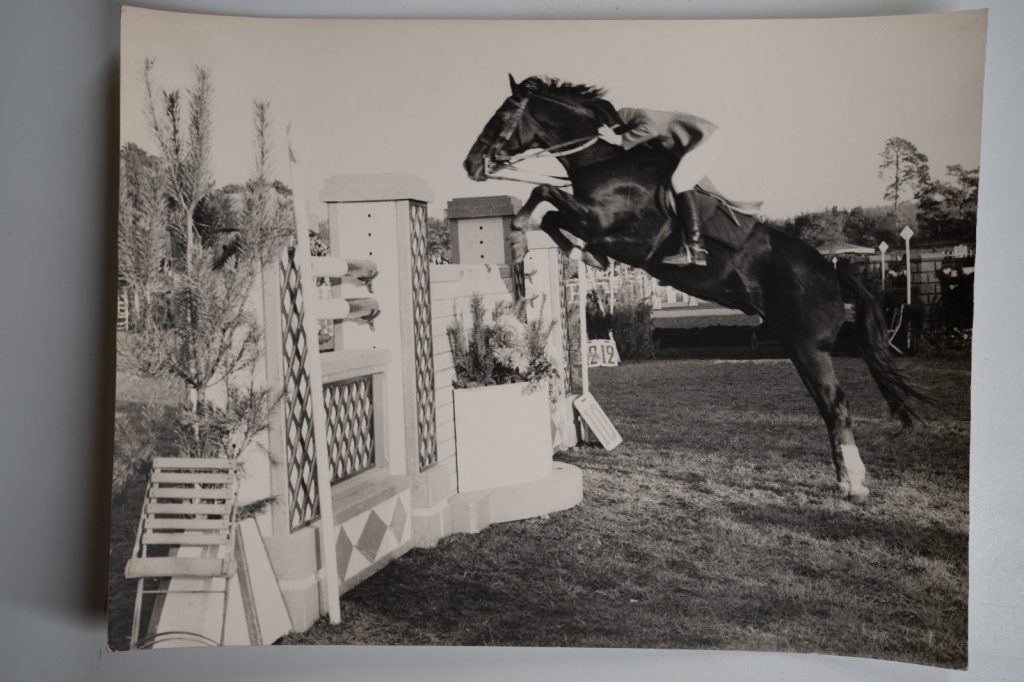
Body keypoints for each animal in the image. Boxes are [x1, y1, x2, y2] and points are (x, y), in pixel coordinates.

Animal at [463, 75, 930, 502]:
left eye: (502, 116)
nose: (470, 165)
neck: (604, 164)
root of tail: (832, 272)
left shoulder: (619, 234)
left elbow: (545, 197)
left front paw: (521, 231)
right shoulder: (597, 227)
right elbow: (553, 216)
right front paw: (577, 253)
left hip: (808, 346)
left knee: (835, 404)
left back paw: (853, 484)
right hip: (798, 344)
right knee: (829, 402)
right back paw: (848, 478)